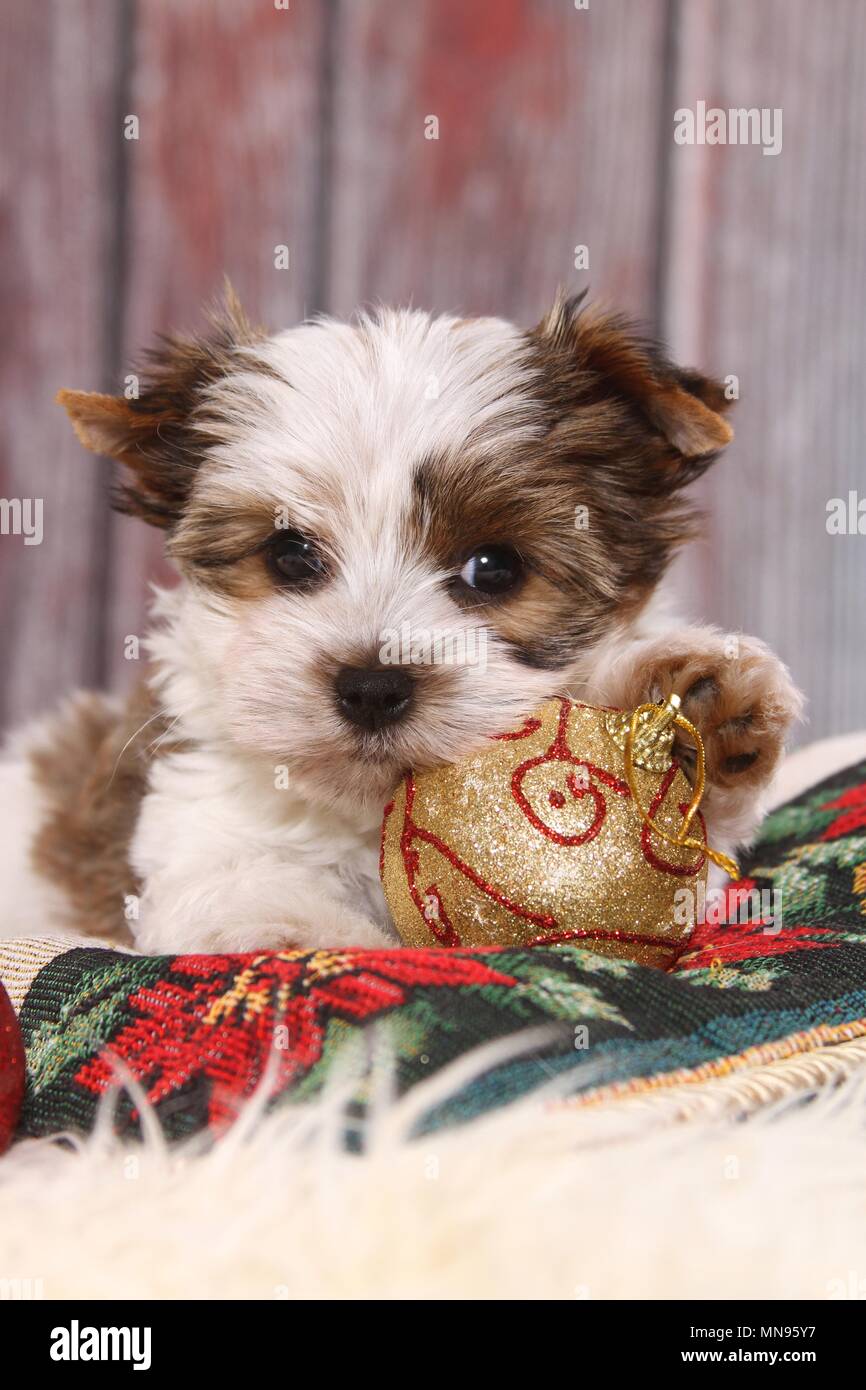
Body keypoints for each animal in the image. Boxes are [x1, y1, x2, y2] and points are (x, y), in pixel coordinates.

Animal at [0, 293, 800, 956]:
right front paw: (309, 936)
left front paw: (690, 710)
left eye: (494, 568)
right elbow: (240, 897)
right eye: (289, 555)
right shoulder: (196, 825)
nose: (372, 687)